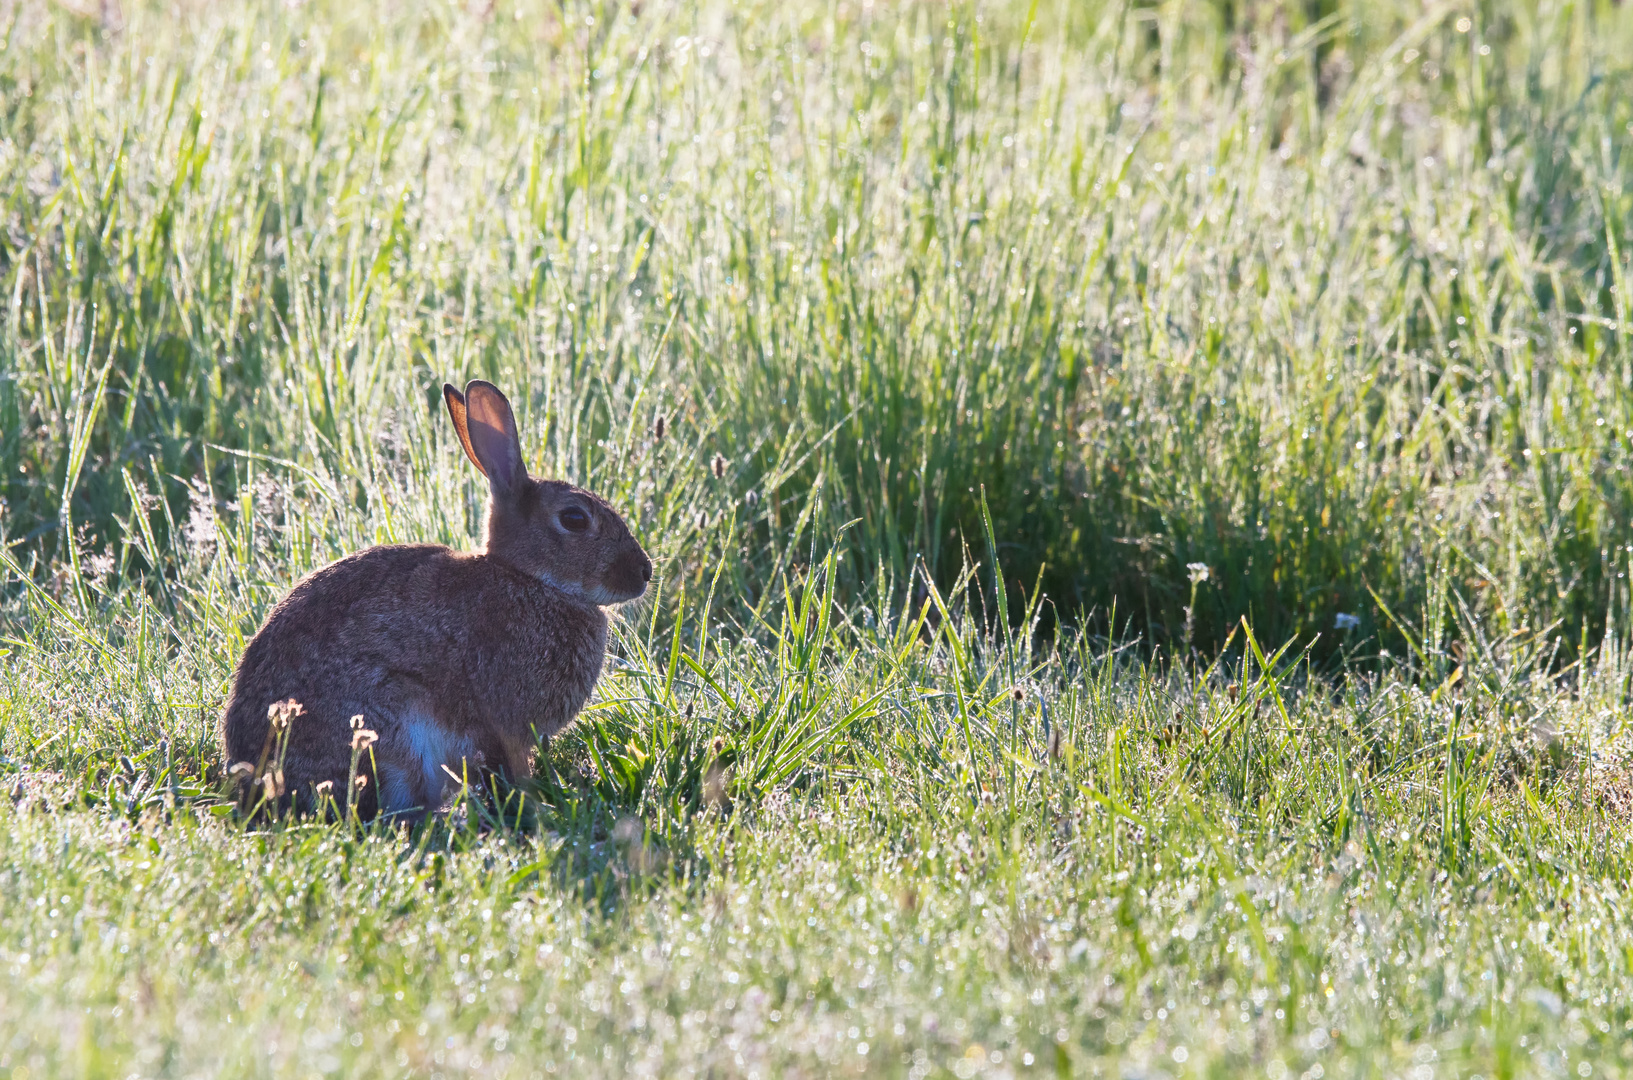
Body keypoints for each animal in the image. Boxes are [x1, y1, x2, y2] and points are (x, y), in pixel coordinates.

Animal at [220, 379, 653, 816]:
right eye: (575, 519)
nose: (645, 573)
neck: (528, 578)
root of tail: (262, 783)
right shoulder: (510, 722)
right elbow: (518, 763)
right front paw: (536, 803)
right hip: (394, 726)